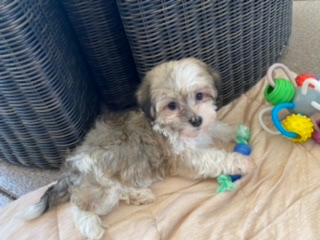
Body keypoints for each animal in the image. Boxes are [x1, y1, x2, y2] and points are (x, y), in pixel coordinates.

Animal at [16, 58, 254, 240]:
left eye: (199, 96)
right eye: (172, 106)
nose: (196, 120)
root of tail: (71, 167)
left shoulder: (203, 131)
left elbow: (216, 127)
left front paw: (236, 130)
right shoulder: (186, 156)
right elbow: (214, 158)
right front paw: (240, 162)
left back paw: (139, 195)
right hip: (102, 188)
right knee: (79, 206)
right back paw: (92, 225)